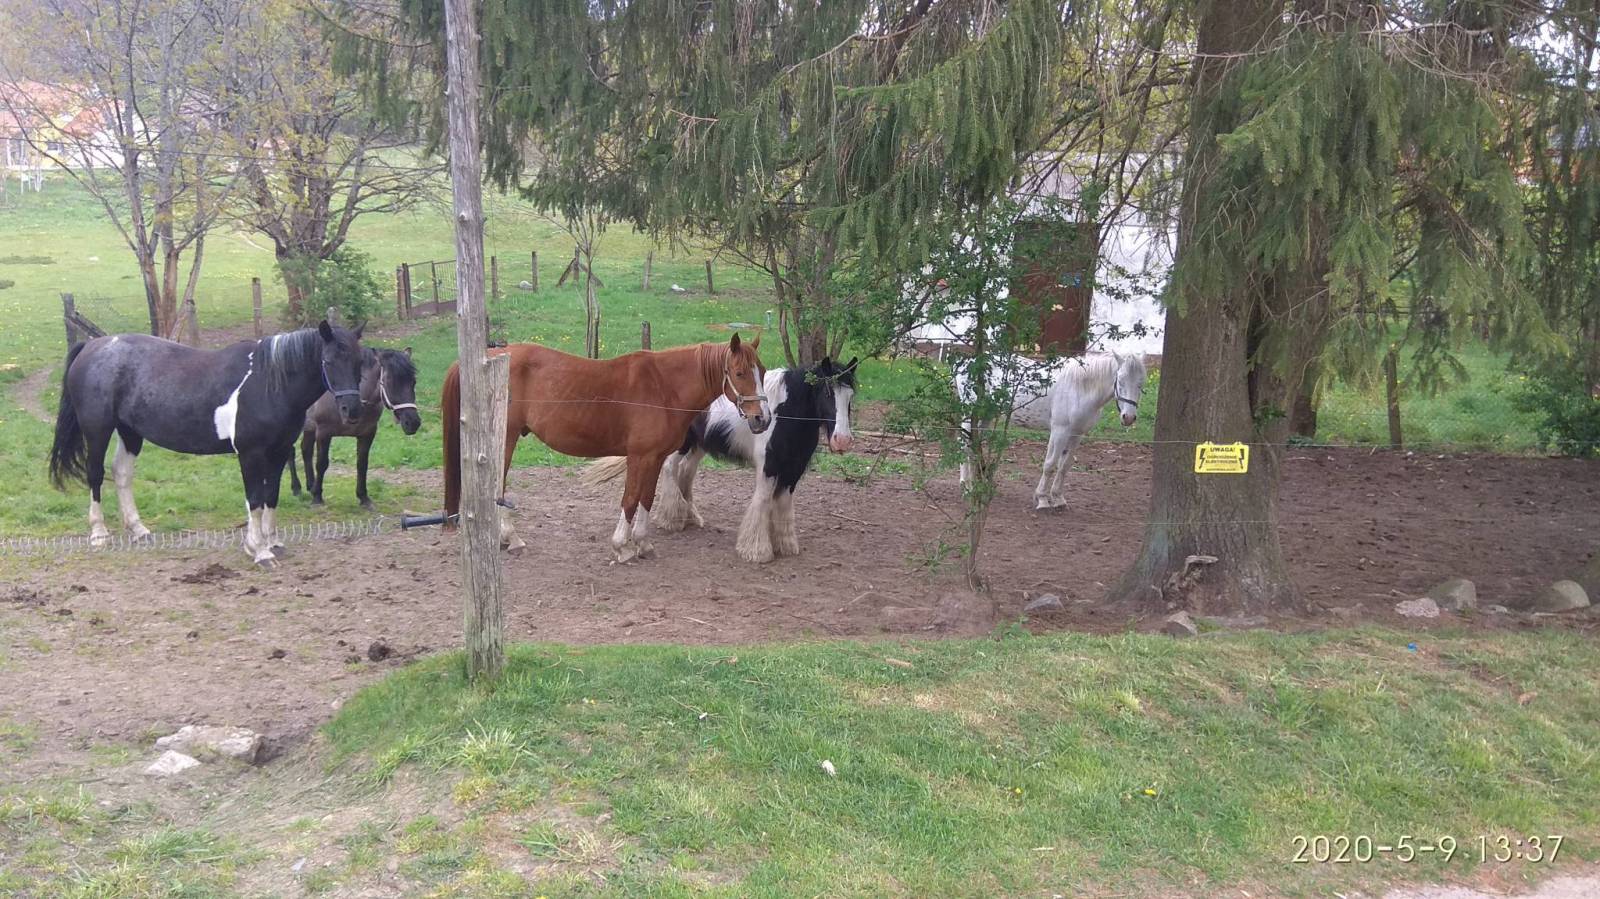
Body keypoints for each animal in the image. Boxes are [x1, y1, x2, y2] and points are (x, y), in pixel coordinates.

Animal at [48, 322, 366, 565]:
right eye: (328, 361)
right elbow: (255, 499)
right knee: (95, 474)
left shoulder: (278, 453)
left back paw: (138, 529)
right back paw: (99, 533)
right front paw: (258, 550)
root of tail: (92, 347)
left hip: (129, 431)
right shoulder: (251, 454)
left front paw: (272, 542)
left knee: (122, 473)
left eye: (359, 362)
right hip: (97, 430)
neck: (268, 382)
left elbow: (271, 496)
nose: (352, 410)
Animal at [287, 347, 421, 508]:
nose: (413, 422)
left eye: (413, 382)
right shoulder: (324, 433)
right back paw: (296, 488)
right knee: (290, 452)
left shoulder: (367, 434)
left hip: (309, 428)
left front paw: (364, 497)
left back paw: (310, 485)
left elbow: (362, 464)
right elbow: (322, 464)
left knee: (305, 450)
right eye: (390, 382)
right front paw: (317, 497)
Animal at [441, 334, 770, 561]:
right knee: (497, 483)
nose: (762, 418)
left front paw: (643, 543)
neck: (664, 387)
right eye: (740, 373)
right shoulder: (639, 457)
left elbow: (646, 499)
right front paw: (621, 547)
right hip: (505, 439)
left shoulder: (655, 457)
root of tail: (487, 357)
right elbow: (630, 499)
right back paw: (511, 538)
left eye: (763, 371)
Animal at [581, 356, 858, 563]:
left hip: (698, 445)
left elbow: (783, 503)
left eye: (850, 396)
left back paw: (689, 516)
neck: (785, 412)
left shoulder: (793, 468)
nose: (842, 440)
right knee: (671, 469)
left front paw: (786, 544)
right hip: (681, 444)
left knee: (686, 471)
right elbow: (763, 500)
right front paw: (756, 550)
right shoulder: (768, 466)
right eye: (827, 393)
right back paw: (672, 519)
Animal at [959, 352, 1146, 509]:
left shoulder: (1077, 434)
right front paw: (1042, 499)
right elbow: (1050, 464)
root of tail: (969, 362)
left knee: (973, 446)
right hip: (970, 416)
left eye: (1140, 384)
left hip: (985, 417)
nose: (1128, 417)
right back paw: (967, 487)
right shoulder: (1059, 432)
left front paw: (1058, 498)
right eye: (1120, 380)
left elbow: (1064, 466)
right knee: (964, 446)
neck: (1079, 389)